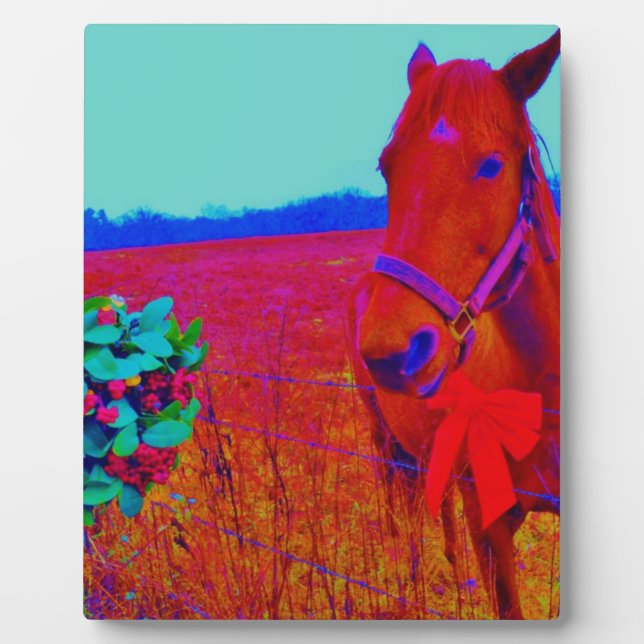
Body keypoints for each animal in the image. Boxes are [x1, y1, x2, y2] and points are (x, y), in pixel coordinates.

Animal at [348, 30, 560, 619]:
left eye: (491, 165)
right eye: (387, 166)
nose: (394, 353)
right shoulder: (490, 525)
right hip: (384, 437)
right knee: (402, 505)